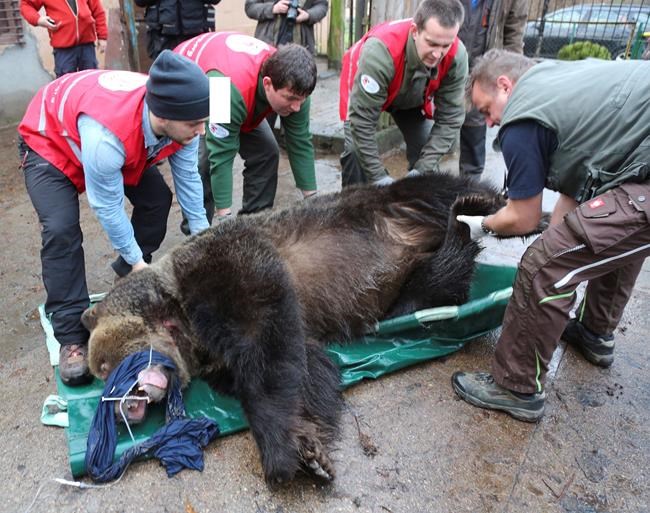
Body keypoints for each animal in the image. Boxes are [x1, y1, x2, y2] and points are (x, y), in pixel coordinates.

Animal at [81, 173, 509, 484]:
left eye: (103, 366)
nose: (119, 410)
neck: (182, 322)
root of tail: (417, 237)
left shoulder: (224, 266)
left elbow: (265, 341)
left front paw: (281, 453)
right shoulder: (219, 350)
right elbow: (301, 367)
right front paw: (309, 448)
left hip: (388, 202)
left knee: (442, 189)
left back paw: (484, 205)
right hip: (404, 285)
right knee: (438, 281)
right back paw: (458, 234)